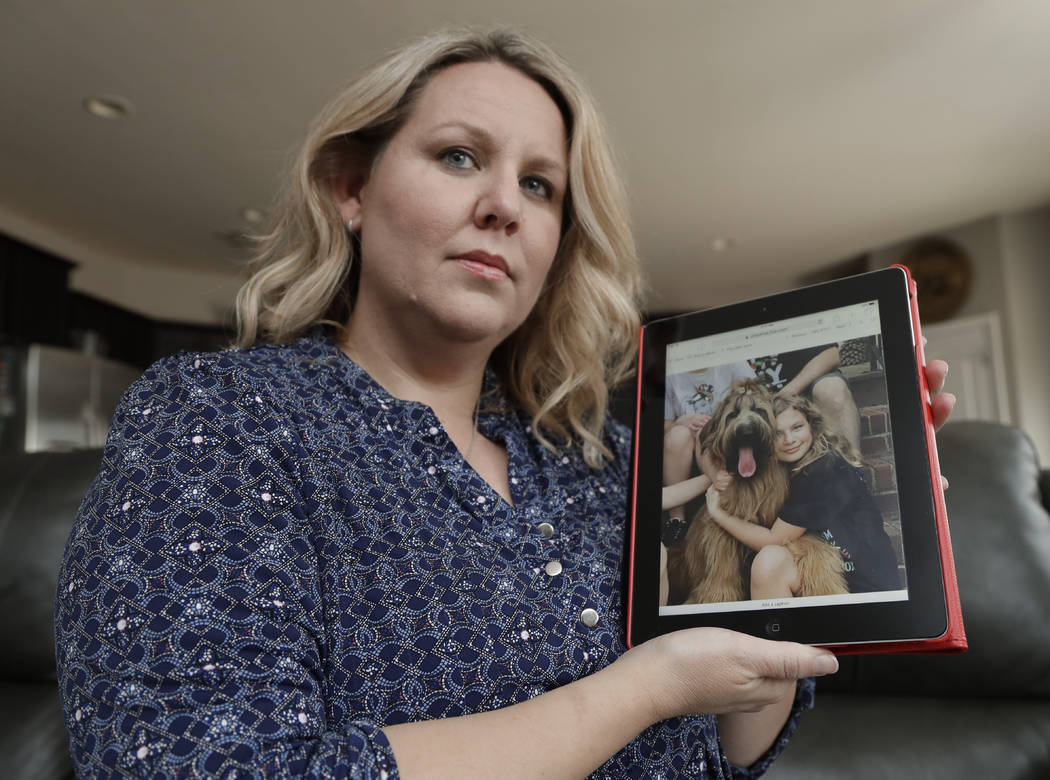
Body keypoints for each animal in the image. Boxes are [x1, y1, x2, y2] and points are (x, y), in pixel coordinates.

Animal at [667, 377, 848, 604]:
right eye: (732, 415)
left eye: (760, 411)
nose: (746, 431)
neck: (753, 484)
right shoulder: (721, 532)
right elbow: (721, 569)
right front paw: (718, 598)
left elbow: (815, 553)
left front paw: (826, 591)